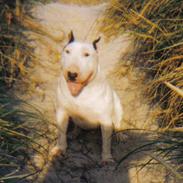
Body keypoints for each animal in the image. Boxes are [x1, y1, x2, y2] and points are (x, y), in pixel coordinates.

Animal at [51, 31, 123, 163]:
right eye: (67, 51)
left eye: (87, 54)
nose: (72, 74)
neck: (81, 93)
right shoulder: (61, 112)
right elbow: (61, 132)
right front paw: (60, 149)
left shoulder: (105, 120)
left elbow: (106, 142)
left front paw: (106, 158)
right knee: (77, 126)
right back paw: (74, 133)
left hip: (118, 108)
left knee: (118, 123)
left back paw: (120, 135)